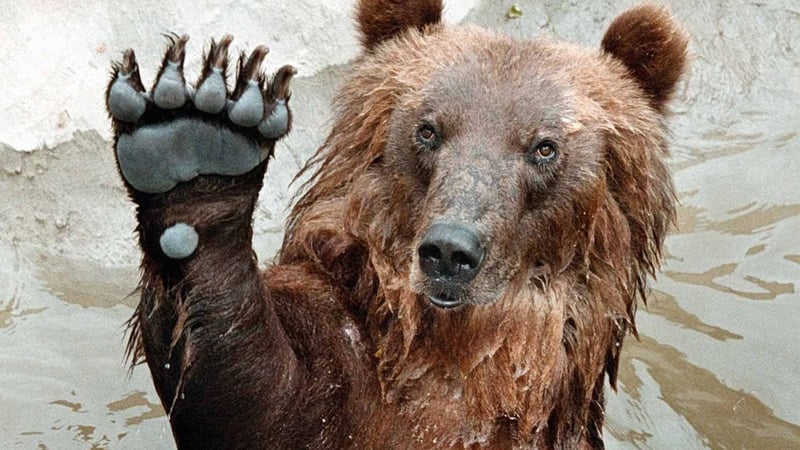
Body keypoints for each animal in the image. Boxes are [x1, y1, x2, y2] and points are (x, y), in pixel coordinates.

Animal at [104, 0, 688, 448]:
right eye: (428, 129)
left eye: (544, 146)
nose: (450, 251)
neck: (455, 353)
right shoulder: (342, 373)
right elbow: (250, 397)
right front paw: (194, 147)